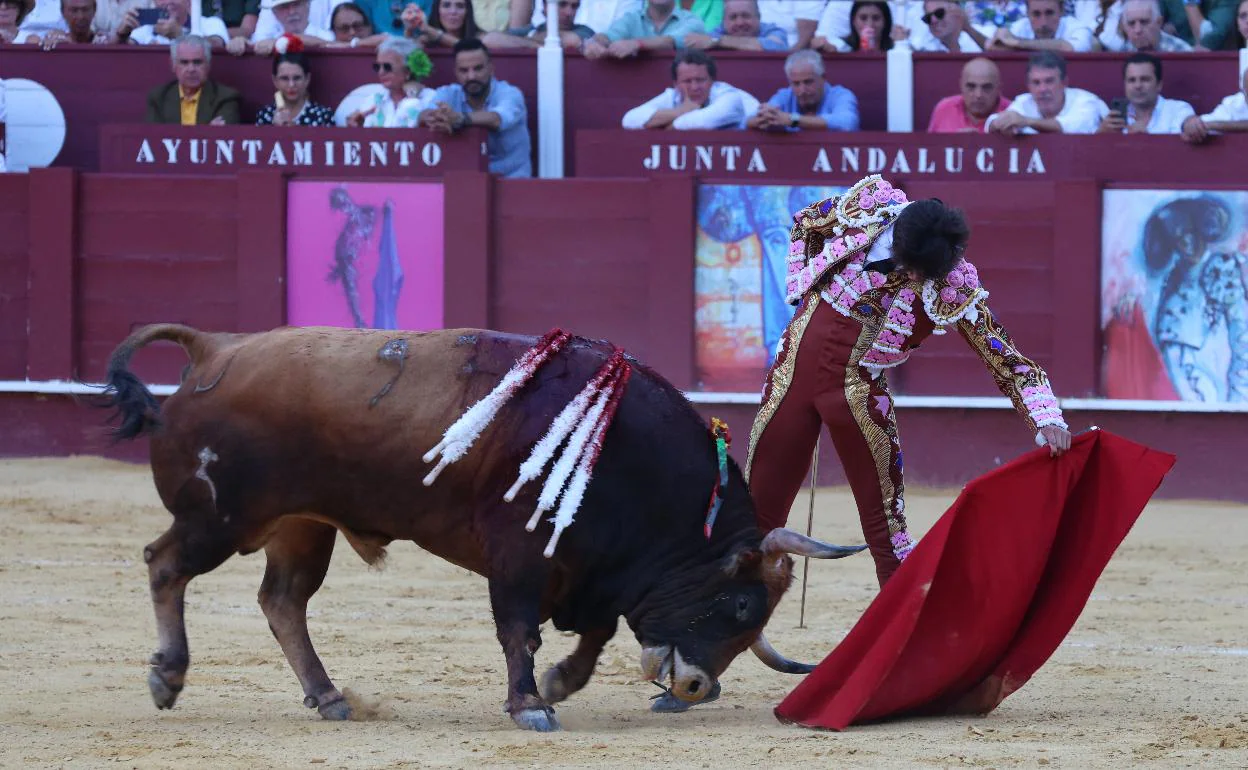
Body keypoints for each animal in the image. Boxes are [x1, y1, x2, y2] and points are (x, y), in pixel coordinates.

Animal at [99, 321, 868, 728]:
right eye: (739, 604)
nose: (696, 688)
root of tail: (213, 348)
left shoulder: (590, 569)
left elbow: (594, 633)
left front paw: (558, 685)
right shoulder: (521, 554)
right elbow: (518, 628)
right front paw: (530, 704)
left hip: (300, 525)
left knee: (283, 601)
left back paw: (329, 696)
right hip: (219, 517)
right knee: (165, 563)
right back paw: (168, 677)